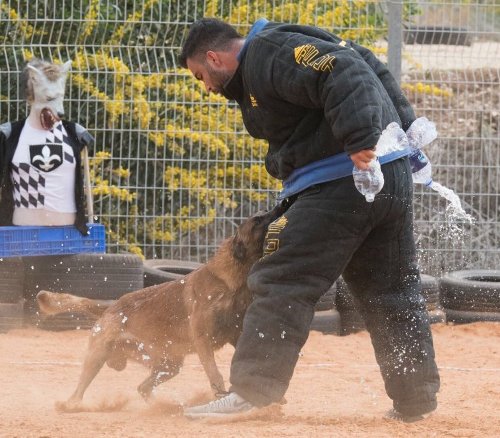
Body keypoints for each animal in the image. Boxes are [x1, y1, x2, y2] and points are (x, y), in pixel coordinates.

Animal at [36, 205, 286, 410]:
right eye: (258, 220)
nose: (282, 203)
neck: (229, 281)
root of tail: (112, 305)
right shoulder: (203, 341)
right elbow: (215, 374)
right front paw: (220, 395)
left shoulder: (235, 334)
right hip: (98, 357)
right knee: (80, 390)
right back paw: (70, 405)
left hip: (168, 365)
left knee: (142, 388)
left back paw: (163, 406)